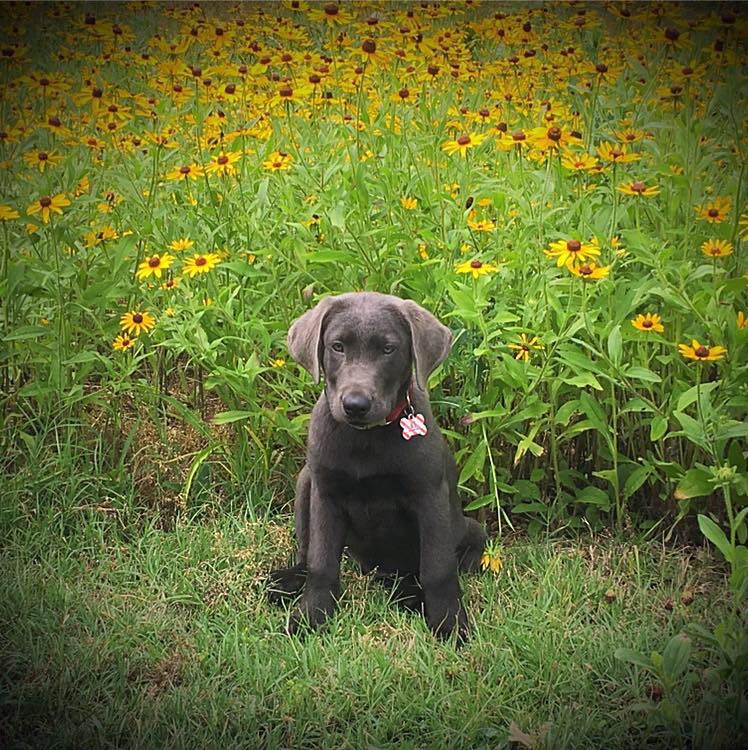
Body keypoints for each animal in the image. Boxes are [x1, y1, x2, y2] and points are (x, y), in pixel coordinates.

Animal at [268, 290, 486, 644]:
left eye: (388, 349)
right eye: (337, 346)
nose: (355, 405)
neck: (365, 439)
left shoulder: (430, 497)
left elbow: (438, 568)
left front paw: (449, 624)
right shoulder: (325, 495)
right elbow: (321, 562)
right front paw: (312, 616)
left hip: (467, 528)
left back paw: (411, 596)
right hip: (305, 482)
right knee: (306, 550)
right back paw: (290, 579)